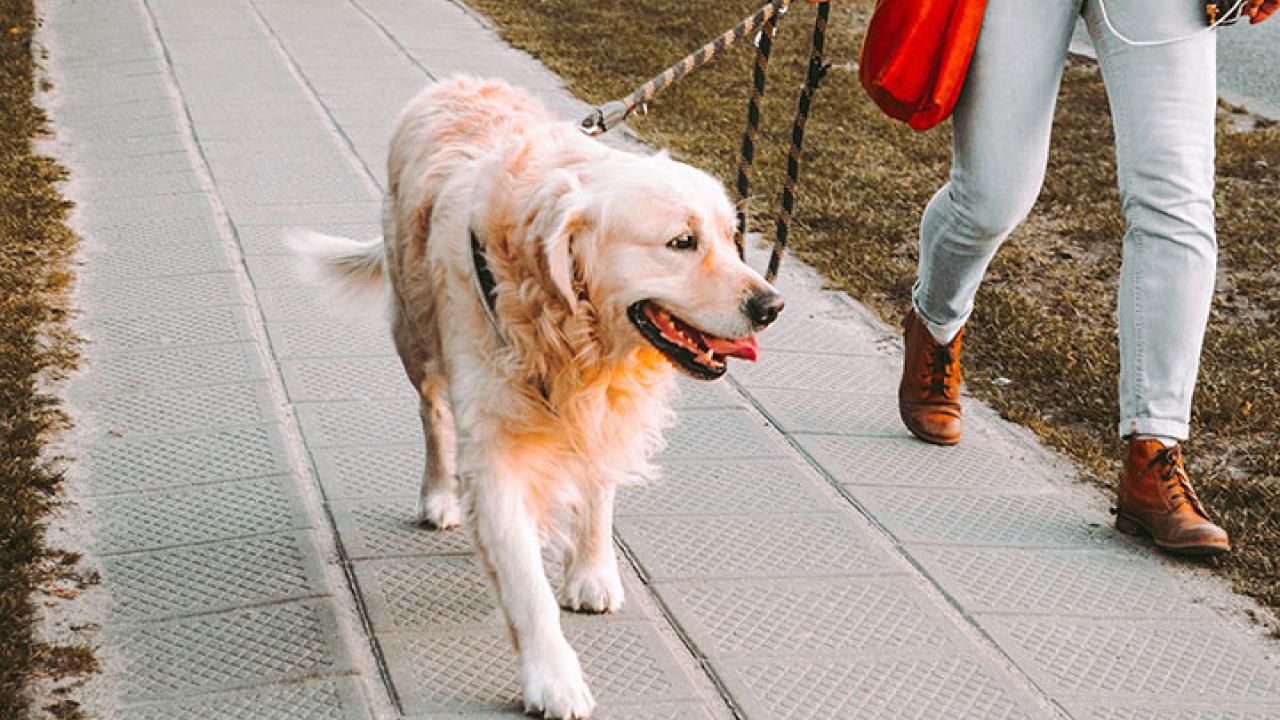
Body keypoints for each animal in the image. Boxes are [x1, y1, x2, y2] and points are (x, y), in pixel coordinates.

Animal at [293, 75, 778, 712]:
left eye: (730, 236)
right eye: (682, 242)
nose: (772, 305)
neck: (570, 329)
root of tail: (455, 81)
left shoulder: (601, 413)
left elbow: (597, 492)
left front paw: (592, 571)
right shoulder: (496, 455)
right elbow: (526, 586)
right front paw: (553, 678)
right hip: (415, 331)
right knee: (433, 413)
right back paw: (438, 494)